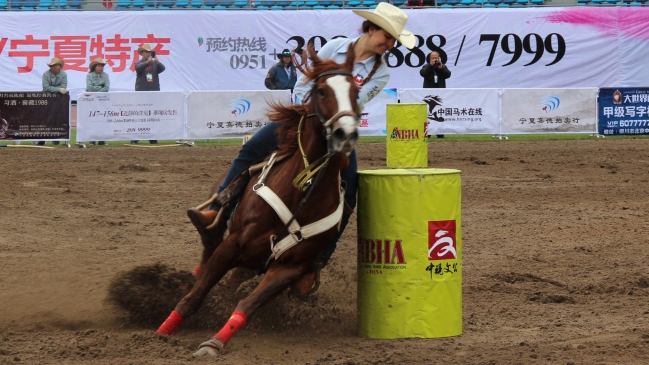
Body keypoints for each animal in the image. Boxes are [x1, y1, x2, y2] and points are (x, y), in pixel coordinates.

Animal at [156, 45, 360, 356]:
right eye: (323, 91)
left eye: (356, 92)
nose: (345, 134)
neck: (299, 195)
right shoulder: (232, 244)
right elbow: (196, 294)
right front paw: (163, 331)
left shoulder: (289, 268)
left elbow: (247, 304)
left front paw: (215, 342)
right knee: (208, 246)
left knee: (235, 280)